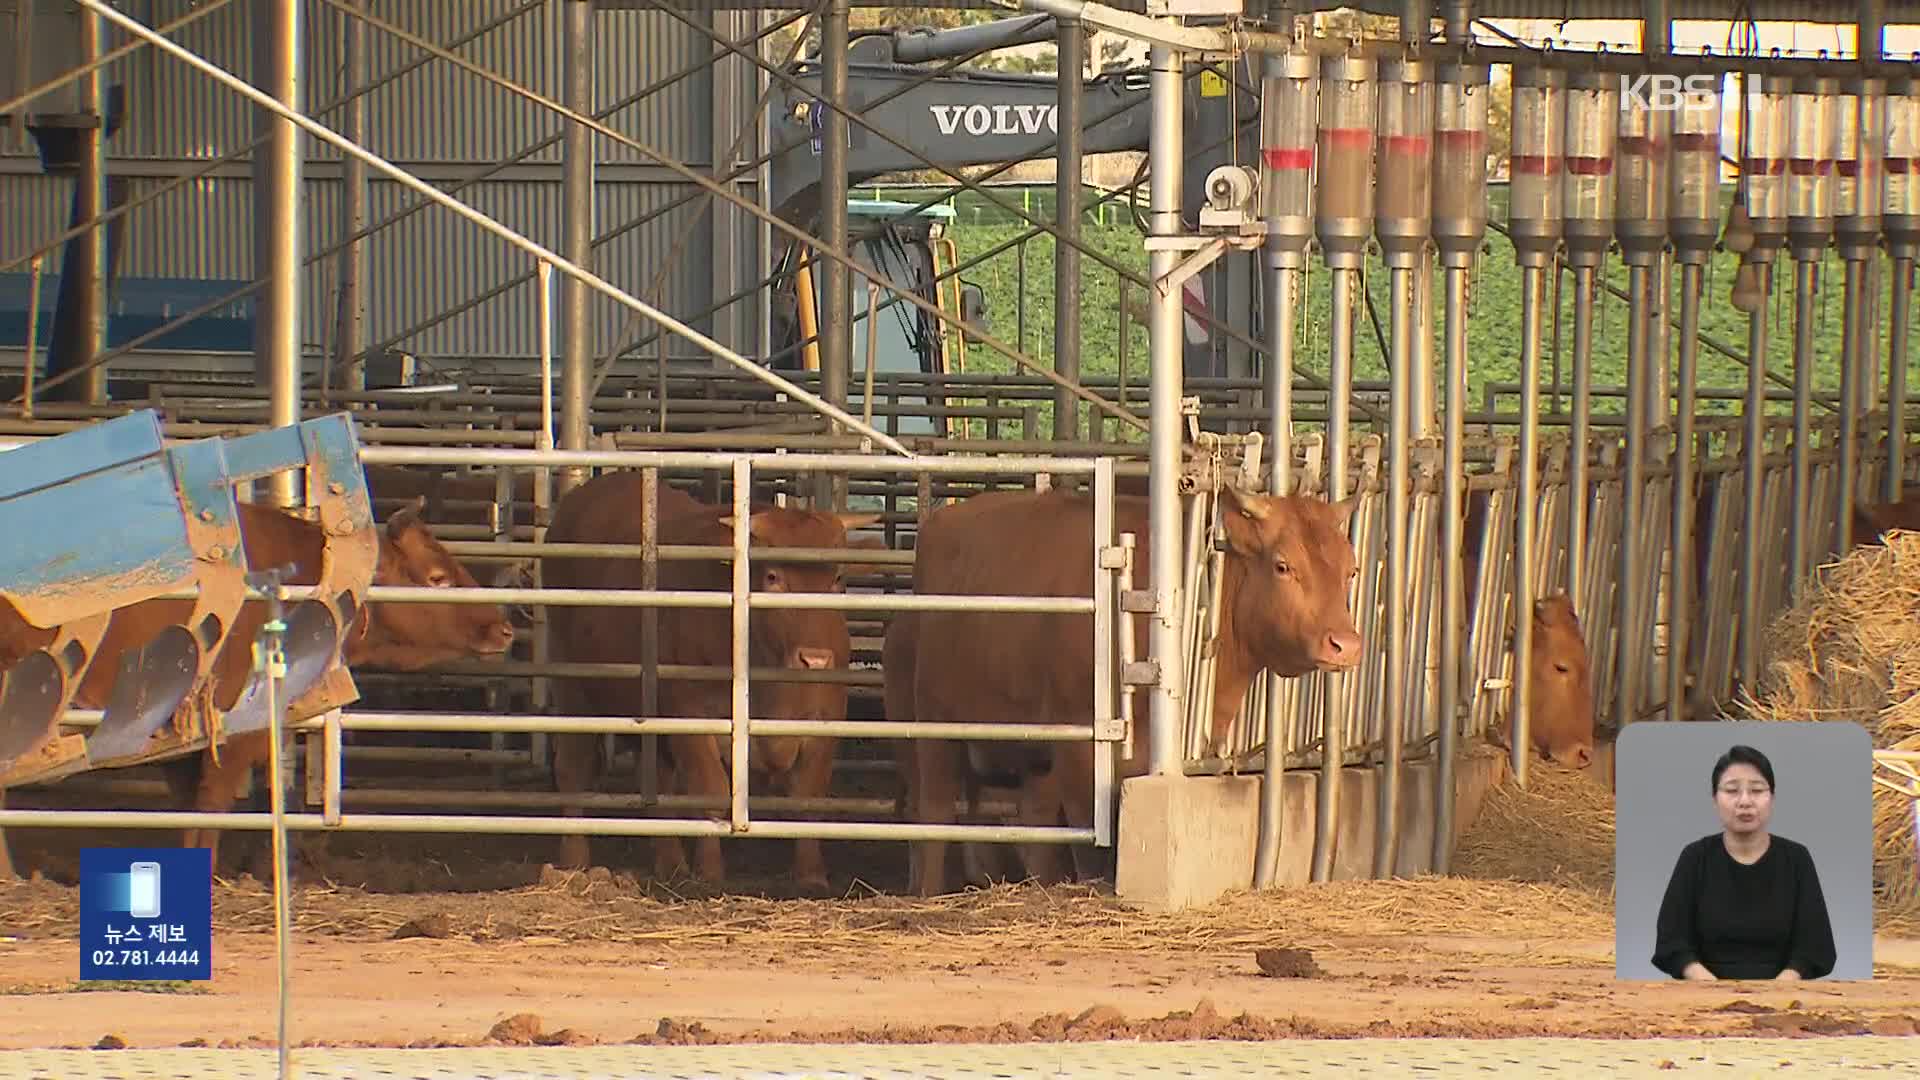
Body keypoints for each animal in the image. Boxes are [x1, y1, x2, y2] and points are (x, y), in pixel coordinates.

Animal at [537, 466, 875, 887]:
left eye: (838, 578)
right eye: (773, 576)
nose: (815, 659)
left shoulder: (824, 722)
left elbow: (809, 798)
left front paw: (811, 876)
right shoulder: (692, 718)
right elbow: (711, 792)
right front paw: (711, 872)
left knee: (659, 781)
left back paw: (670, 863)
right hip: (571, 683)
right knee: (574, 765)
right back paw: (576, 860)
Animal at [898, 484, 1367, 895]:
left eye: (1351, 570)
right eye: (1283, 565)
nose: (1346, 645)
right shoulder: (1080, 759)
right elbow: (1094, 851)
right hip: (933, 724)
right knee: (935, 813)